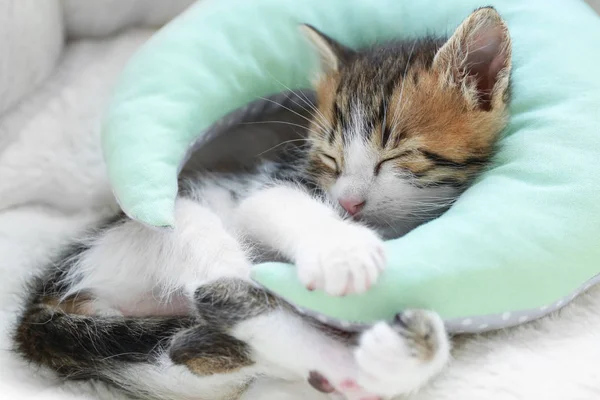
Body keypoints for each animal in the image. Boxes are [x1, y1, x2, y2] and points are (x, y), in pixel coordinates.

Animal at [12, 7, 510, 400]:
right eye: (330, 157)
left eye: (395, 156)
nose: (348, 203)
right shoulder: (266, 186)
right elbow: (280, 205)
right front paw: (344, 253)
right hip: (174, 222)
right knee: (222, 290)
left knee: (194, 355)